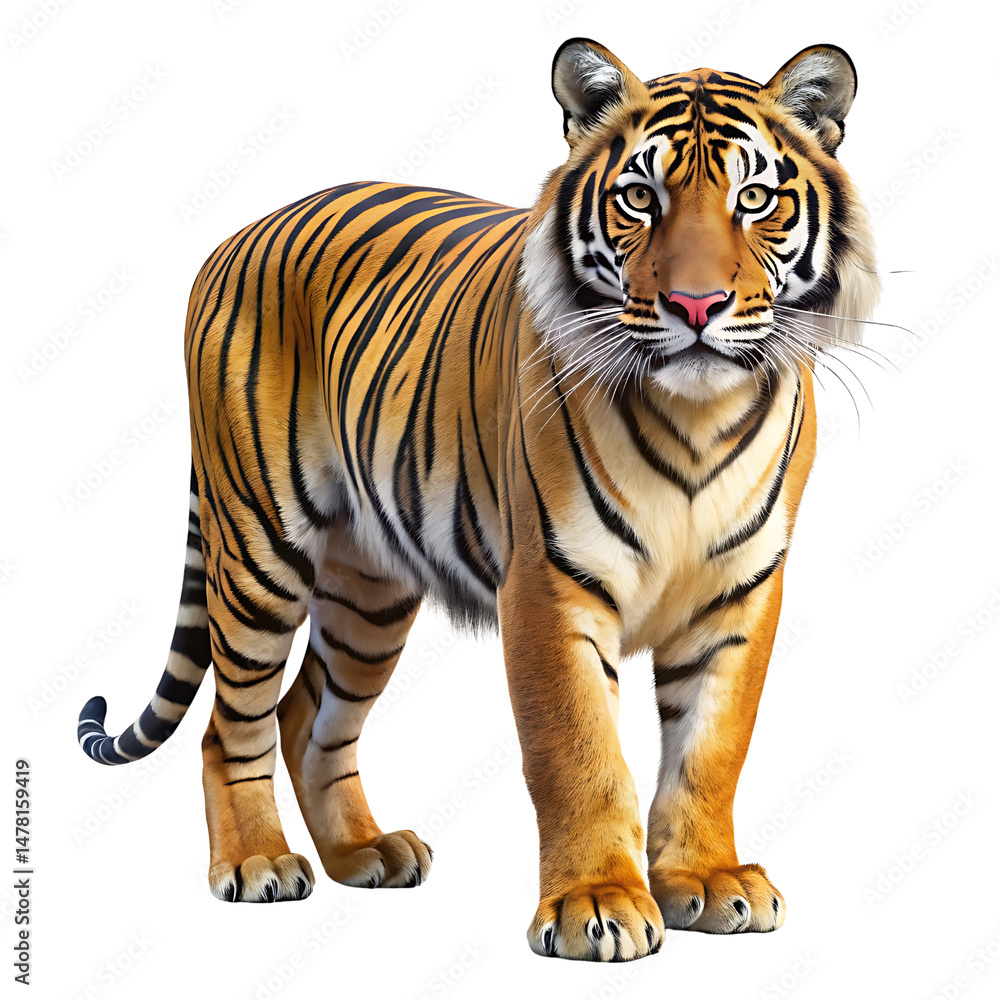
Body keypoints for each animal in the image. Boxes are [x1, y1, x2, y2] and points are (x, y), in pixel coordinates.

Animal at [77, 38, 879, 961]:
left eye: (755, 200)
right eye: (640, 197)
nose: (696, 306)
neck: (696, 416)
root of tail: (235, 236)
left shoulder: (741, 591)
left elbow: (711, 750)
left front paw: (709, 881)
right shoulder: (550, 584)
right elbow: (579, 752)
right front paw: (596, 905)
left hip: (369, 588)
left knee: (309, 712)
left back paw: (365, 853)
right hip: (257, 546)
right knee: (230, 723)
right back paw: (257, 864)